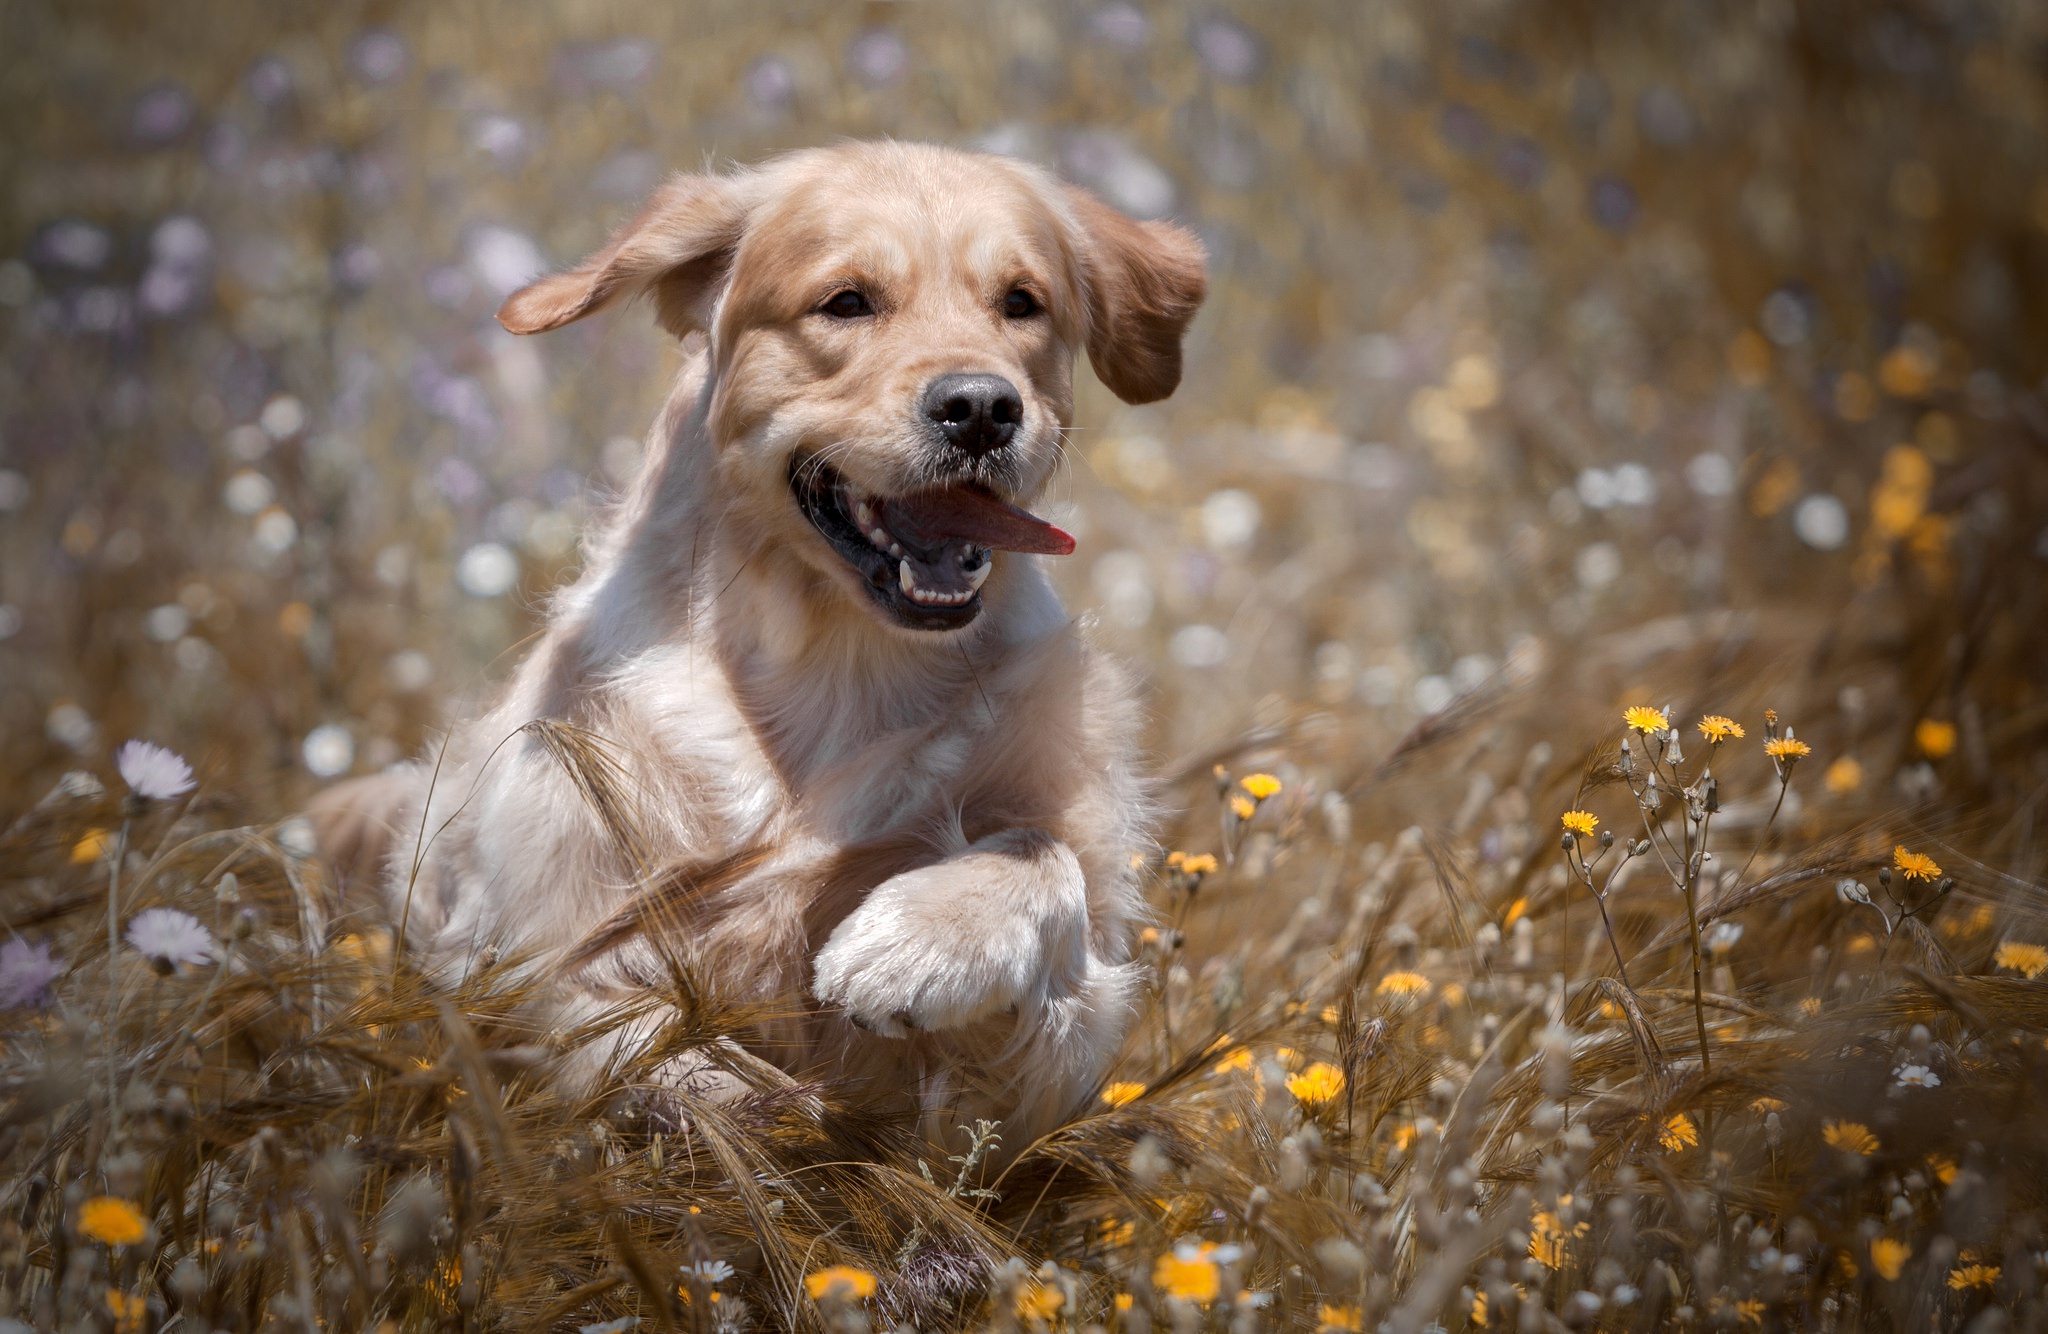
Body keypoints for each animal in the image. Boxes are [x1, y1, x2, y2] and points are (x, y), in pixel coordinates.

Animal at [313, 143, 1204, 1147]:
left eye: (1022, 302)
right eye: (847, 301)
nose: (981, 408)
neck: (840, 665)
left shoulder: (1046, 1075)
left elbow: (1041, 855)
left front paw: (915, 941)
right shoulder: (540, 952)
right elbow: (650, 1055)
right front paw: (759, 1114)